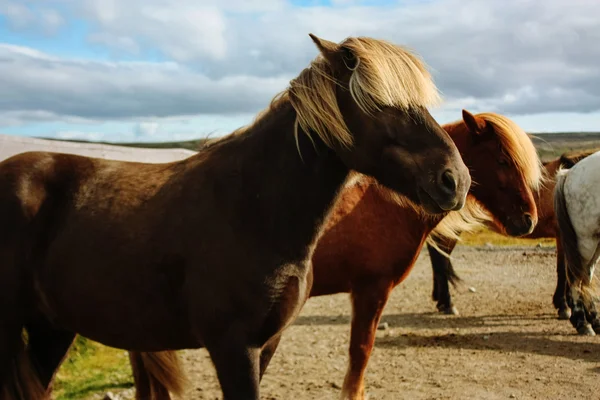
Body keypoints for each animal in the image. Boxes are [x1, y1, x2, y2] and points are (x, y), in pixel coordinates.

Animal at [0, 35, 474, 400]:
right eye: (377, 102)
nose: (455, 179)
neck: (252, 208)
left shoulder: (265, 344)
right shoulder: (233, 347)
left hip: (51, 330)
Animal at [426, 148, 596, 318]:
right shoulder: (562, 235)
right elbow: (564, 270)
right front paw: (564, 305)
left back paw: (439, 299)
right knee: (440, 259)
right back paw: (447, 303)